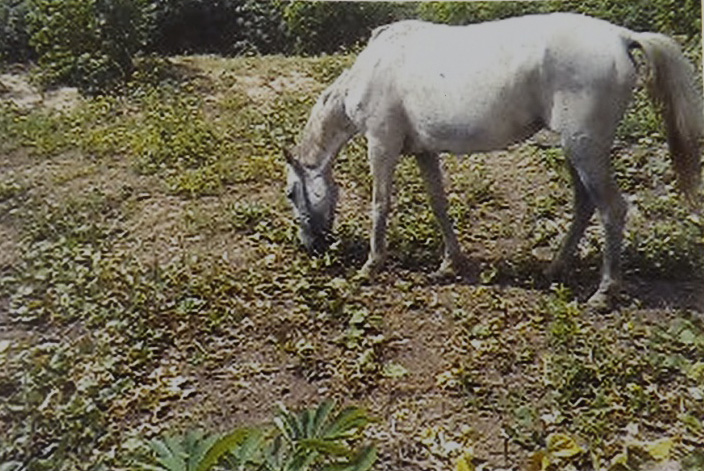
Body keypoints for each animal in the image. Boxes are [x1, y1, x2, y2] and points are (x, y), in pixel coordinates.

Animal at [284, 12, 703, 310]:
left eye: (291, 193)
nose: (309, 245)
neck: (373, 67)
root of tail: (619, 36)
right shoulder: (424, 152)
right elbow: (439, 204)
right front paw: (449, 264)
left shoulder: (381, 145)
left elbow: (379, 205)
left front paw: (372, 263)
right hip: (576, 151)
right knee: (584, 205)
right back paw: (555, 268)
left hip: (585, 150)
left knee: (611, 210)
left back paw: (604, 292)